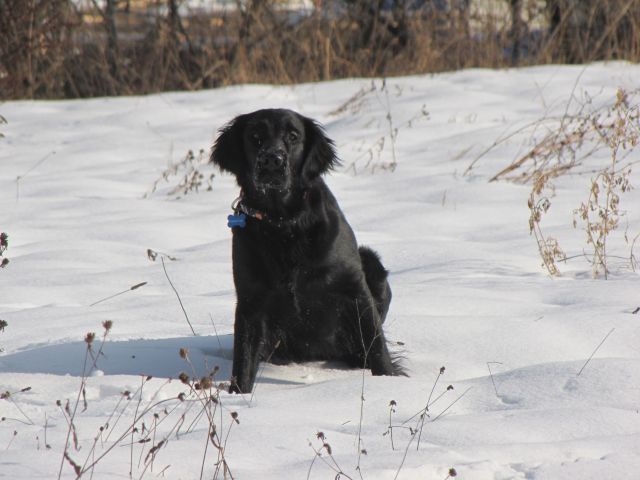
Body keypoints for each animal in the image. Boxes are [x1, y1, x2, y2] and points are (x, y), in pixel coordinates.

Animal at [212, 109, 402, 394]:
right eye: (255, 137)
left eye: (293, 136)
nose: (272, 160)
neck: (283, 224)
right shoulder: (250, 300)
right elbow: (243, 358)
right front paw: (238, 395)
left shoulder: (353, 288)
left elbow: (376, 344)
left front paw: (389, 383)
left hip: (371, 262)